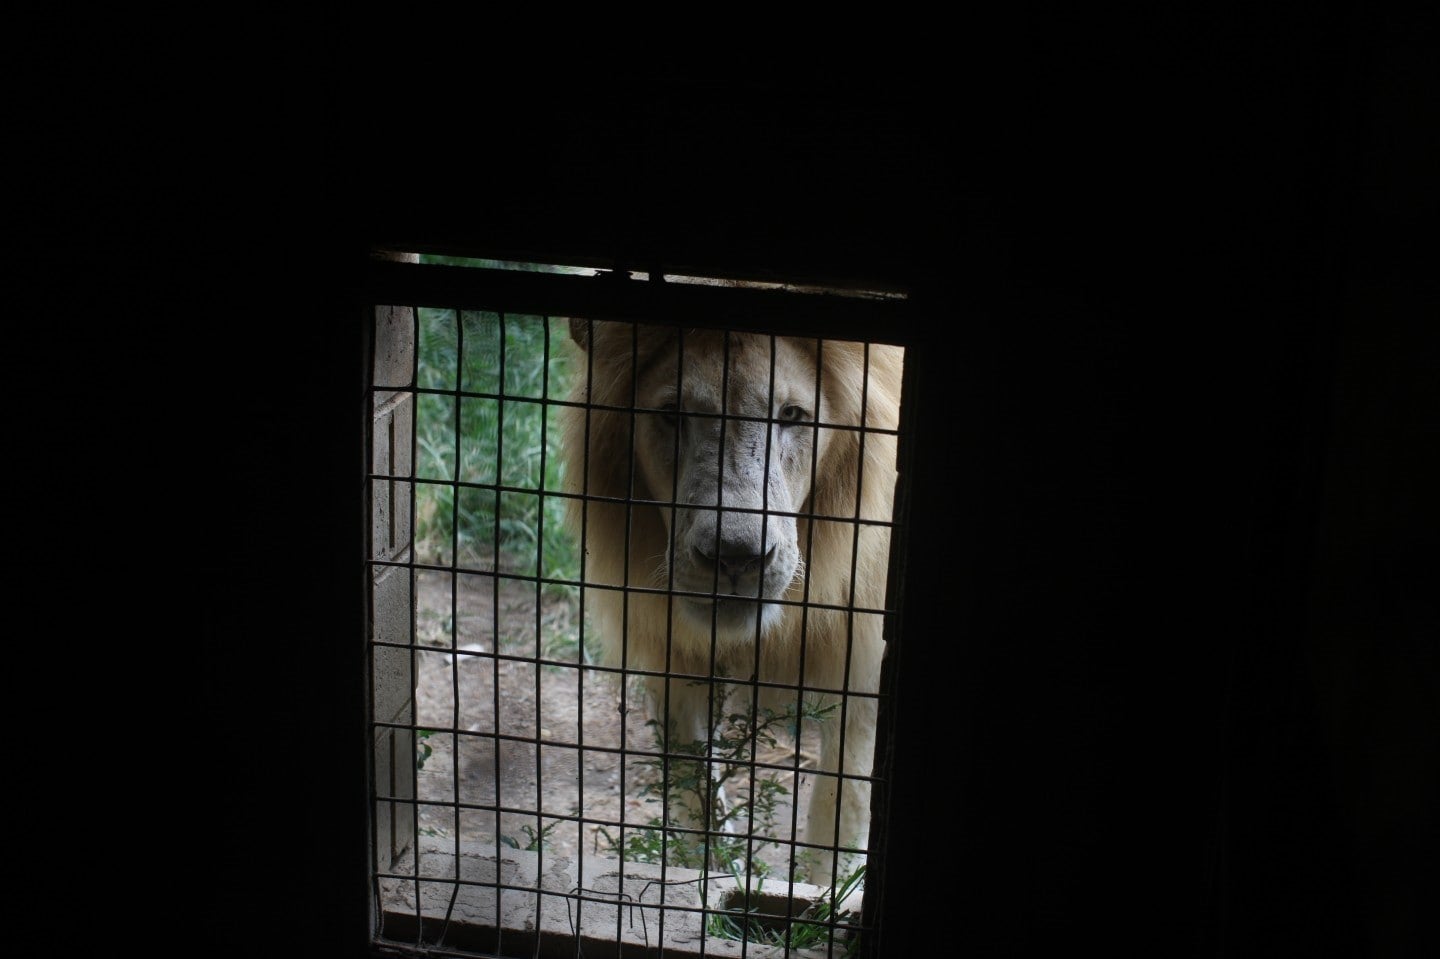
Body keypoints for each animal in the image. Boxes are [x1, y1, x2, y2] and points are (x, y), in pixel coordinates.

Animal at [561, 315, 898, 881]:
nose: (737, 557)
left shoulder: (865, 667)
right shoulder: (677, 659)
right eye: (673, 415)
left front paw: (824, 893)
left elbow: (843, 808)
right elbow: (697, 792)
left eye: (791, 415)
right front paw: (711, 881)